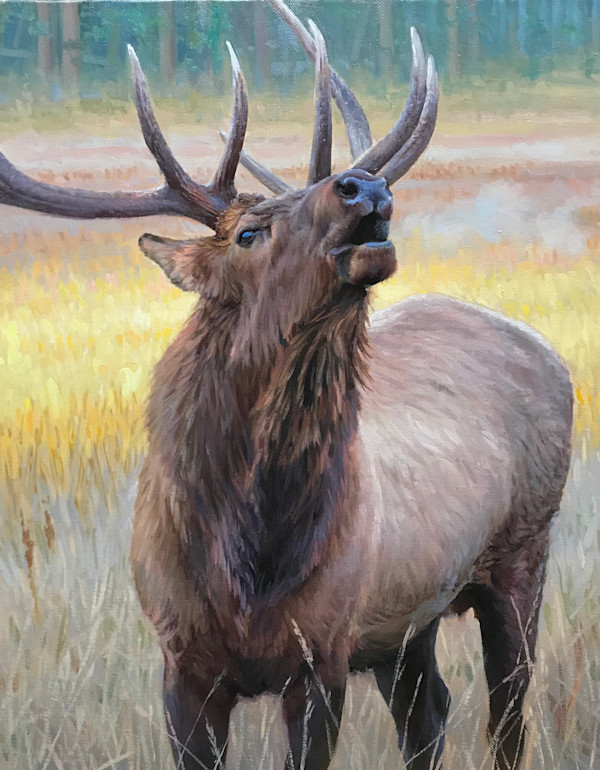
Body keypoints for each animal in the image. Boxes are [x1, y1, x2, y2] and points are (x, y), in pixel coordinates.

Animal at [0, 2, 573, 769]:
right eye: (247, 233)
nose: (364, 186)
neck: (249, 567)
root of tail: (549, 352)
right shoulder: (181, 661)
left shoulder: (321, 652)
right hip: (408, 623)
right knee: (429, 711)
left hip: (523, 549)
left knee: (507, 718)